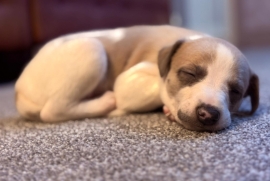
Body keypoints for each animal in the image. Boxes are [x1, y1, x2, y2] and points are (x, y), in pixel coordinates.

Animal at [14, 24, 260, 131]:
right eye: (189, 73)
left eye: (236, 91)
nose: (208, 114)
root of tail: (18, 90)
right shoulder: (129, 80)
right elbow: (157, 88)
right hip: (91, 50)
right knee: (53, 110)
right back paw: (106, 103)